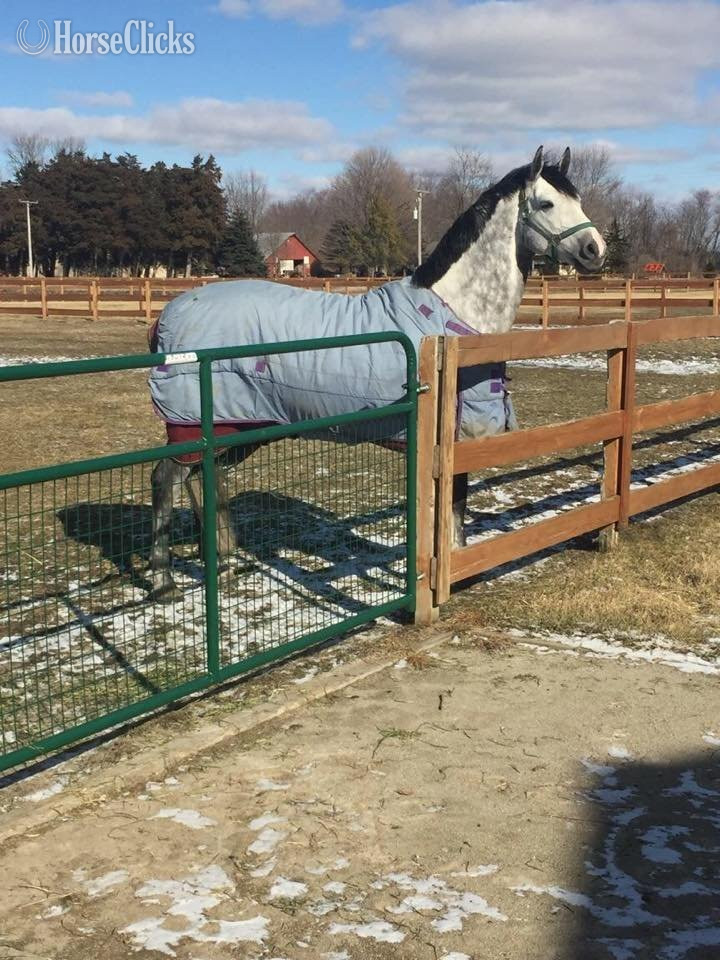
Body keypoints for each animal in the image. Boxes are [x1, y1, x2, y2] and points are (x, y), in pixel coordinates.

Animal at [147, 145, 605, 600]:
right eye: (546, 204)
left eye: (578, 199)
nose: (595, 250)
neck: (451, 318)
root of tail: (170, 314)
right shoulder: (451, 438)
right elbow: (453, 503)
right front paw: (454, 575)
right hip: (195, 428)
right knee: (166, 479)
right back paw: (164, 581)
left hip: (242, 426)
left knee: (205, 478)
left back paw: (226, 564)